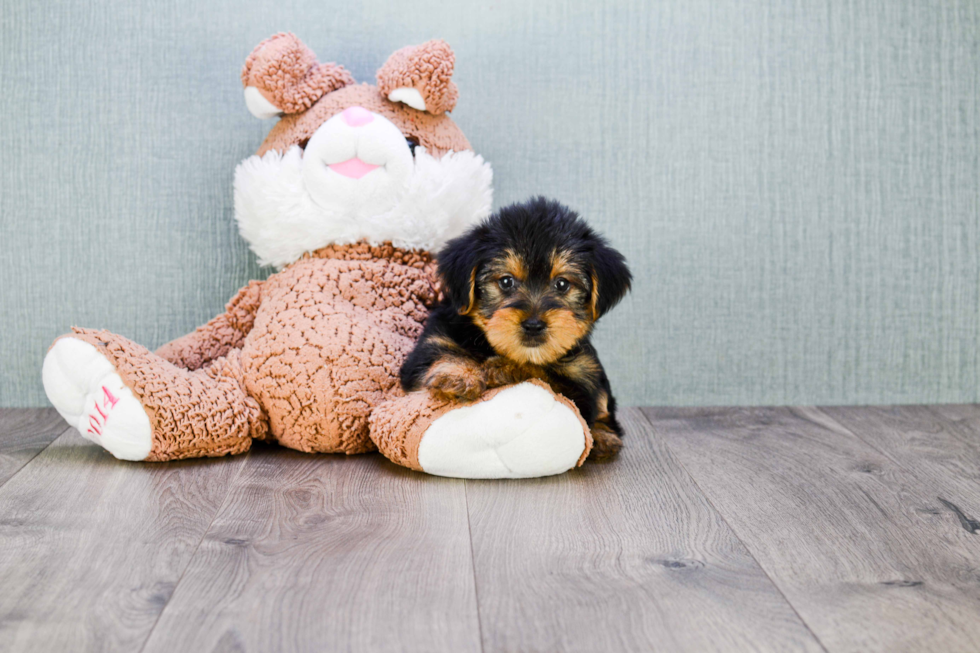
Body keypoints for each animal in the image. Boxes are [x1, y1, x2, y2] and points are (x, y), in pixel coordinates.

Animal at [402, 196, 632, 456]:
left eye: (562, 284)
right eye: (506, 281)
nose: (533, 324)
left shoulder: (583, 383)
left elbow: (548, 375)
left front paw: (506, 367)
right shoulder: (432, 341)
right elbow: (439, 354)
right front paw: (457, 376)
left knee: (605, 410)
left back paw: (604, 438)